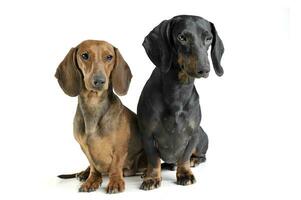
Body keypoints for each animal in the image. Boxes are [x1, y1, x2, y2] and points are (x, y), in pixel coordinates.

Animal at [56, 39, 146, 193]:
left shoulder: (120, 148)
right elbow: (93, 166)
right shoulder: (85, 148)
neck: (94, 106)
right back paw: (84, 173)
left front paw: (115, 182)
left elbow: (116, 165)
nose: (99, 81)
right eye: (84, 55)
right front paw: (92, 180)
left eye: (109, 57)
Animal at [136, 14, 223, 190]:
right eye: (181, 37)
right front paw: (152, 177)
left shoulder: (193, 133)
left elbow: (184, 157)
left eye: (209, 38)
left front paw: (185, 174)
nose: (204, 69)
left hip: (202, 137)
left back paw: (195, 160)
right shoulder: (147, 133)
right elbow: (153, 159)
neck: (178, 91)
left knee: (200, 155)